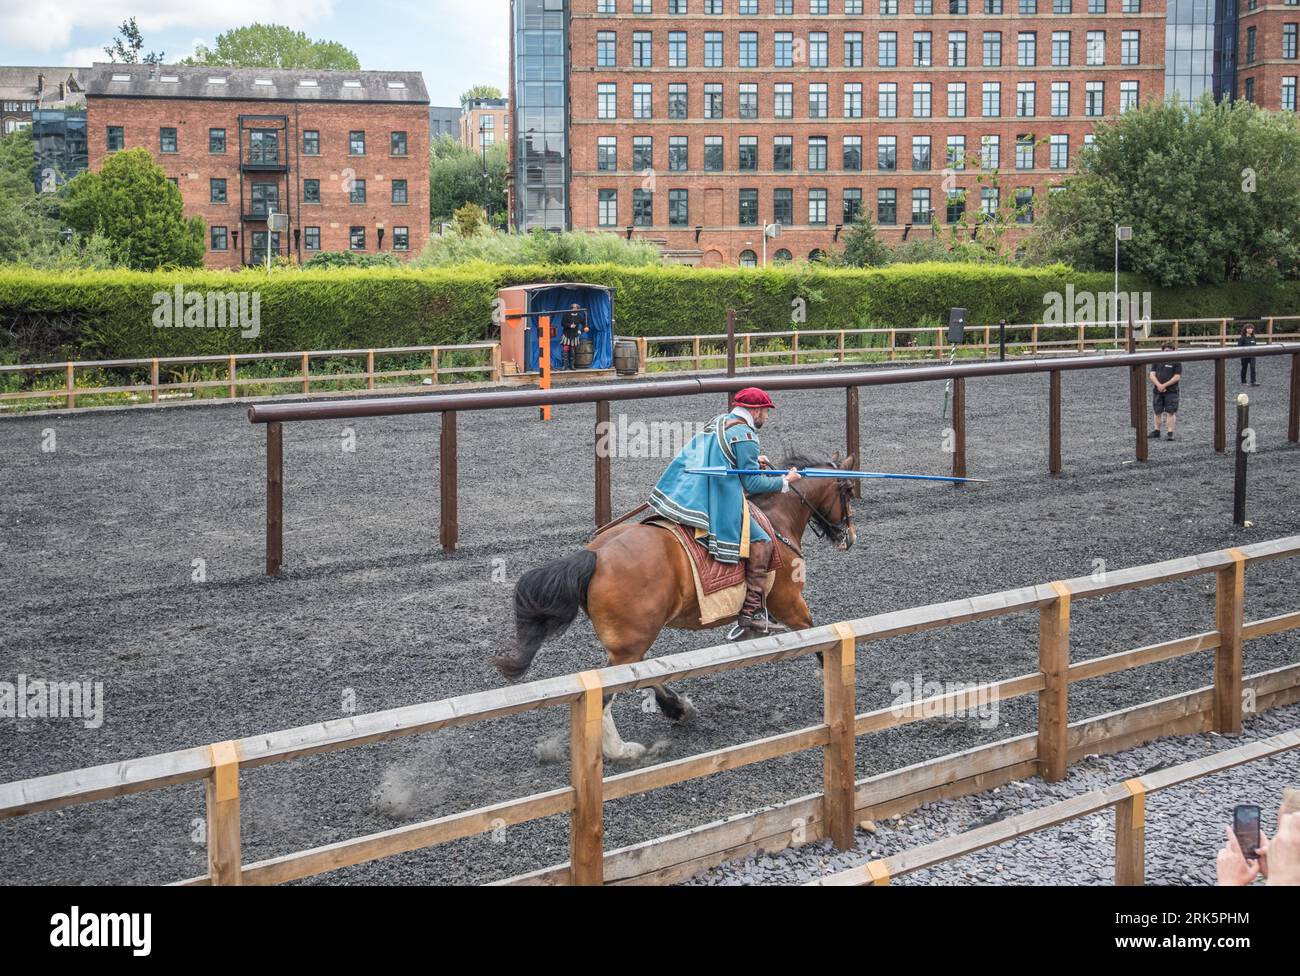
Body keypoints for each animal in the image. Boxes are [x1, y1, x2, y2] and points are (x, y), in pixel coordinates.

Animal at [490, 453, 857, 761]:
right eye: (848, 491)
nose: (849, 536)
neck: (775, 519)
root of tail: (595, 555)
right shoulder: (792, 605)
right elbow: (821, 642)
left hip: (632, 642)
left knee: (643, 673)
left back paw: (676, 708)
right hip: (631, 644)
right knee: (609, 692)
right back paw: (621, 749)